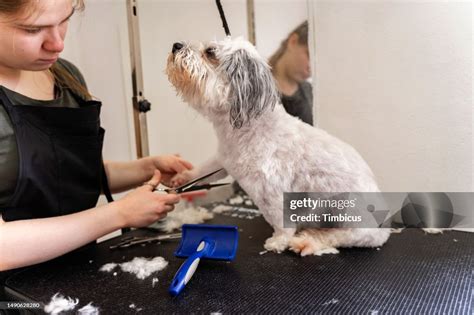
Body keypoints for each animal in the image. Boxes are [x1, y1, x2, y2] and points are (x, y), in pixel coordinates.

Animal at [166, 37, 388, 256]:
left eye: (210, 52)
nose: (176, 45)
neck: (247, 128)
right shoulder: (223, 159)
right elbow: (206, 169)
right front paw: (182, 177)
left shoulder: (272, 188)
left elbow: (280, 220)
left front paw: (279, 241)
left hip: (347, 212)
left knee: (353, 236)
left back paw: (308, 242)